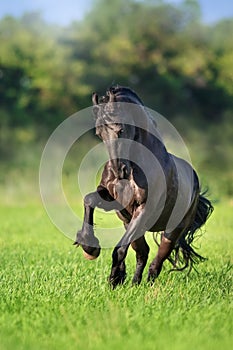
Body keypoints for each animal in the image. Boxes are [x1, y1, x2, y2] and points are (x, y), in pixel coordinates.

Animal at [74, 85, 213, 288]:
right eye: (100, 134)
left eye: (121, 129)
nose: (119, 171)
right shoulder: (115, 201)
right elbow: (89, 199)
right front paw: (89, 247)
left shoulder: (144, 209)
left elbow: (119, 250)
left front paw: (112, 280)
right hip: (128, 222)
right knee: (143, 252)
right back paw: (134, 283)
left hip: (172, 230)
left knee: (157, 260)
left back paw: (146, 285)